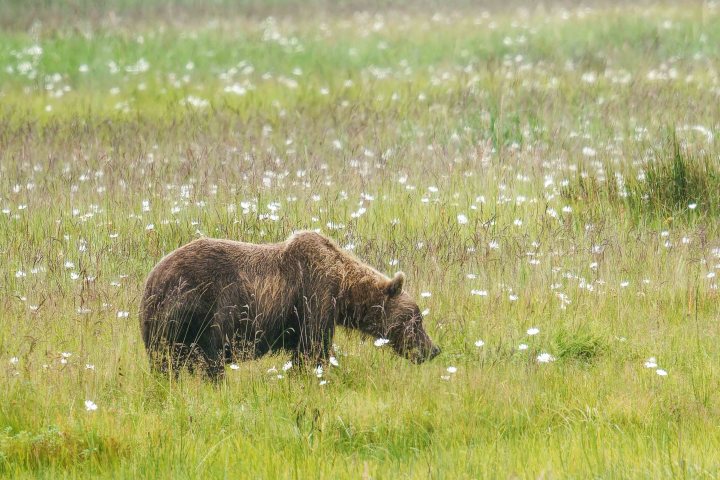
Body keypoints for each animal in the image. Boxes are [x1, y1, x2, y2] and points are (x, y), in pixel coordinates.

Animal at [139, 231, 440, 379]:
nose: (433, 349)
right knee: (199, 361)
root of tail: (150, 281)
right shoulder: (314, 296)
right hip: (195, 311)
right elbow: (313, 349)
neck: (343, 289)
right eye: (416, 320)